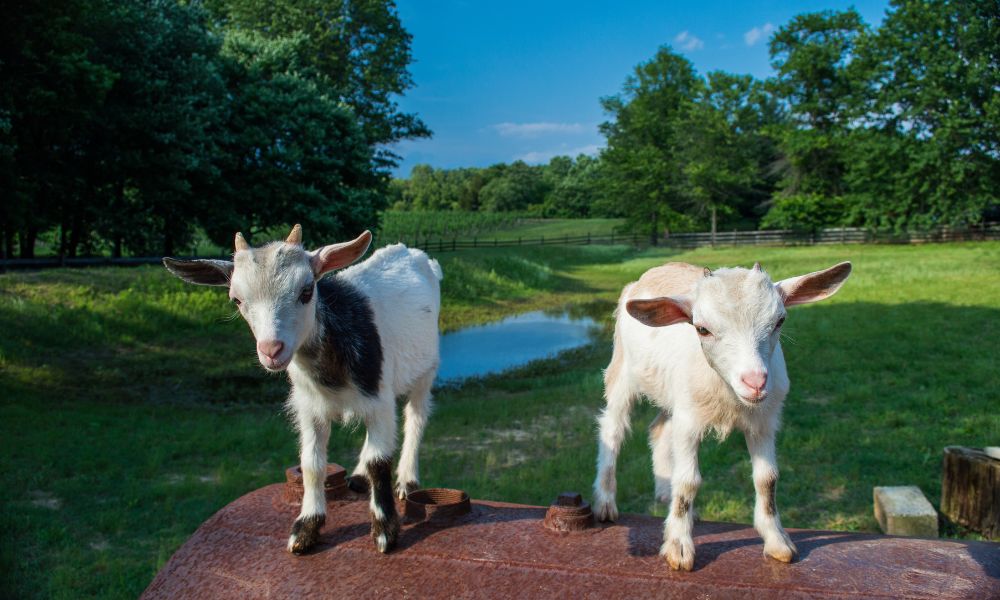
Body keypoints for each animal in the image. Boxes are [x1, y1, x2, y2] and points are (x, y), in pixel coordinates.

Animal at [162, 225, 440, 552]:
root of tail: (413, 253)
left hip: (426, 370)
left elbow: (379, 461)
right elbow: (311, 463)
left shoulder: (378, 400)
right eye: (236, 300)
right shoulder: (309, 408)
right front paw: (307, 527)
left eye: (307, 291)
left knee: (416, 418)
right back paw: (359, 477)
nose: (271, 350)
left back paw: (408, 481)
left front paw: (385, 532)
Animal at [592, 260, 852, 568]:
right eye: (702, 329)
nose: (755, 382)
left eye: (779, 321)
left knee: (659, 429)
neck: (729, 397)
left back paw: (666, 494)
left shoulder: (764, 421)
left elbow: (767, 478)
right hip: (622, 370)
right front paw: (679, 548)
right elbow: (688, 480)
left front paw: (778, 542)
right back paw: (605, 502)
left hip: (671, 393)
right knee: (613, 428)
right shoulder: (689, 422)